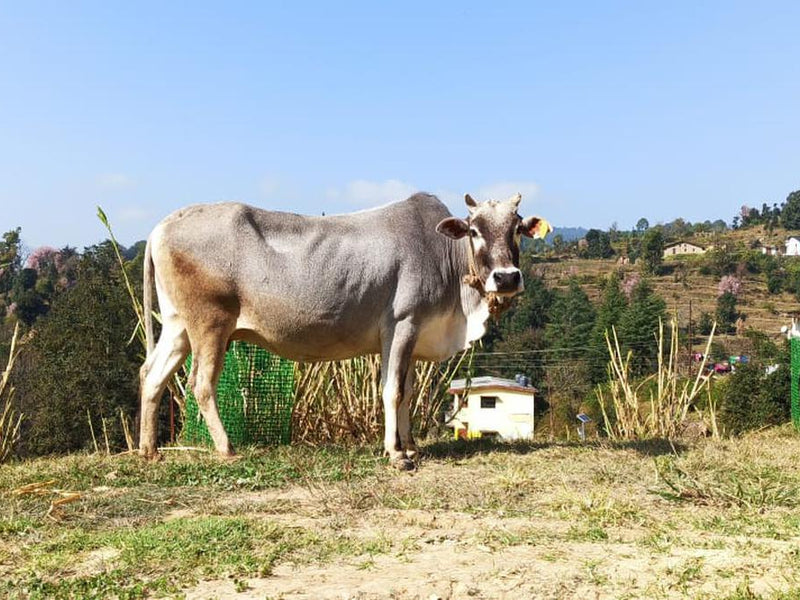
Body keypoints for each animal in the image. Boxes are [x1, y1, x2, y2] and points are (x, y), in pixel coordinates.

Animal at [138, 192, 551, 469]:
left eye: (517, 228)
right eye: (475, 231)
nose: (506, 277)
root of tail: (163, 225)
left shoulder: (413, 336)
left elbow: (407, 393)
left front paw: (411, 445)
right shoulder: (401, 325)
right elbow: (392, 391)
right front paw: (396, 454)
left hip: (178, 326)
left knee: (152, 375)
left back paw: (149, 450)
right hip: (210, 325)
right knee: (201, 384)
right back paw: (226, 448)